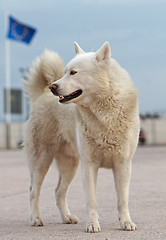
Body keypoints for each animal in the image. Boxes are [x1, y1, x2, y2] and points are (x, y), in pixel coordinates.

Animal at [24, 41, 139, 232]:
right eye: (65, 72)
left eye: (73, 72)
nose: (53, 86)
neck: (103, 113)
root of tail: (41, 95)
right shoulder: (89, 165)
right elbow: (91, 200)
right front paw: (92, 225)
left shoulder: (123, 164)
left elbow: (122, 199)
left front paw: (126, 222)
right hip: (42, 159)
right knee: (33, 191)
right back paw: (35, 219)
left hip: (70, 164)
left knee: (58, 191)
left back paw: (66, 217)